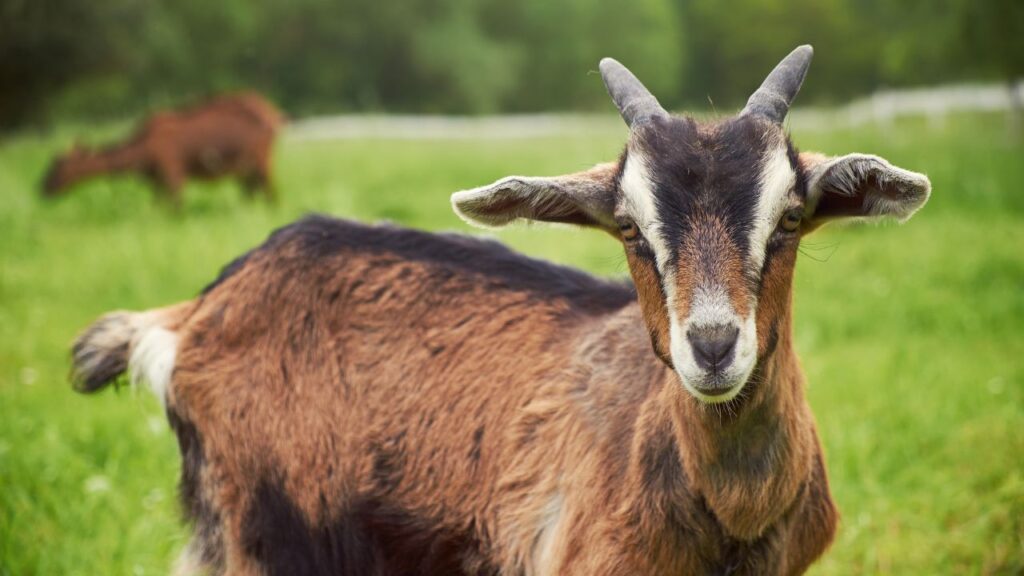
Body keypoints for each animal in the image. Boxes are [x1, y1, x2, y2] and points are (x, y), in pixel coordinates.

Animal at [42, 92, 283, 207]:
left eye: (58, 165)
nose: (42, 188)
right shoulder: (157, 181)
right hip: (246, 168)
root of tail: (274, 114)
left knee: (271, 194)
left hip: (262, 161)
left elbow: (175, 208)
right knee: (252, 194)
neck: (142, 152)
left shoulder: (173, 174)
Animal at [70, 46, 930, 575]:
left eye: (789, 219)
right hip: (264, 534)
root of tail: (193, 312)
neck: (733, 518)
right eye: (629, 227)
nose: (713, 346)